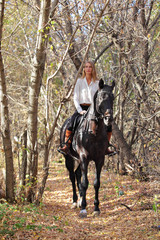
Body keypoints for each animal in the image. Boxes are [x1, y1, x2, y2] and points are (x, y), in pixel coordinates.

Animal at [58, 79, 115, 218]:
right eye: (101, 97)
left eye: (113, 97)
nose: (109, 118)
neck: (94, 132)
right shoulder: (84, 157)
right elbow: (84, 183)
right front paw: (83, 208)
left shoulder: (99, 159)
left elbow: (96, 183)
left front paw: (96, 208)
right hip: (68, 158)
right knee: (72, 176)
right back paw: (75, 202)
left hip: (79, 159)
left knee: (78, 173)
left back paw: (79, 201)